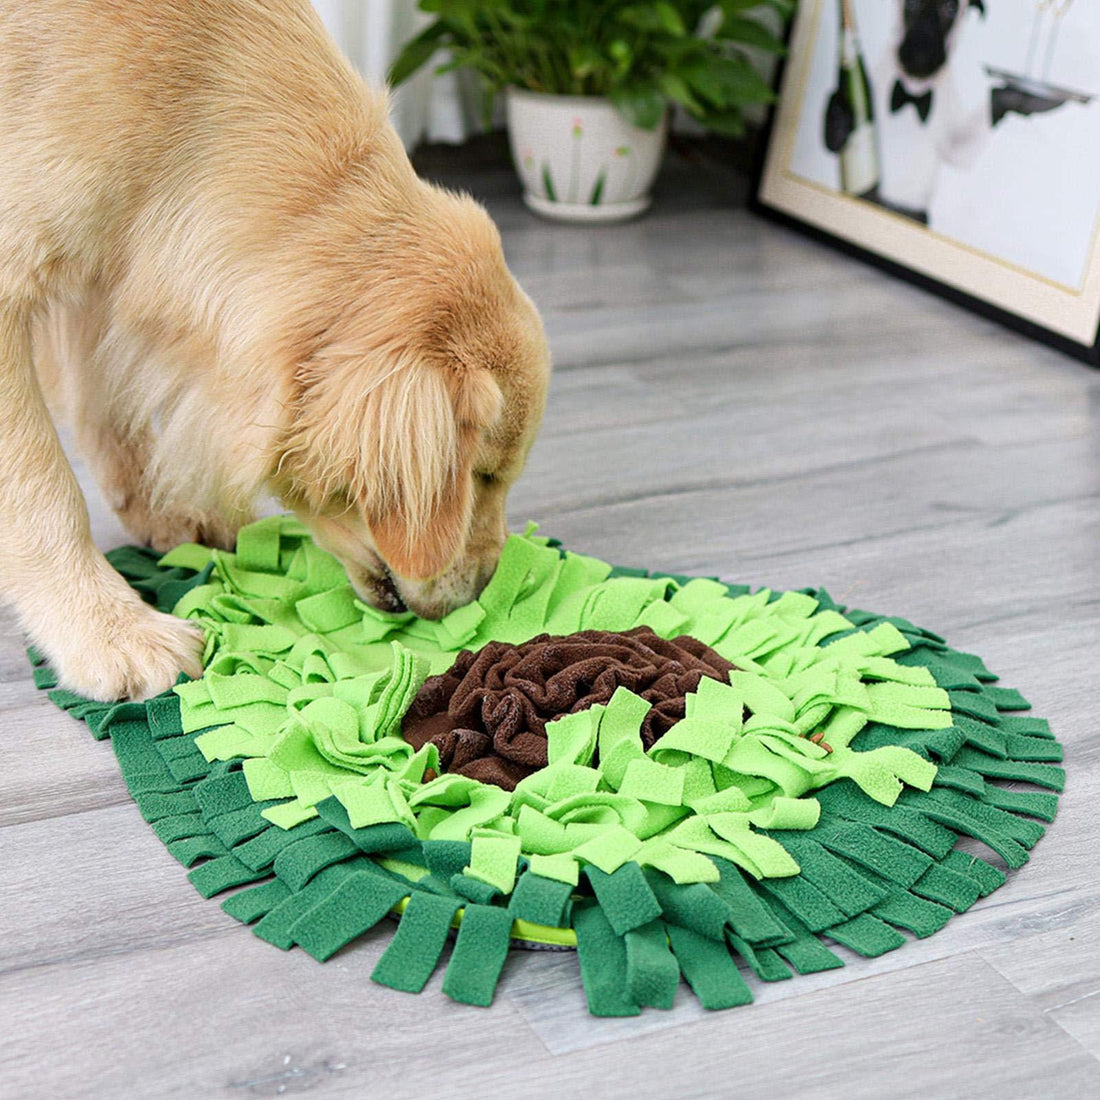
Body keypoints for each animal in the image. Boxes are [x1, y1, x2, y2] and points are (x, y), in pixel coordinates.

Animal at [0, 0, 550, 699]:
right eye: (481, 476)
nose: (483, 593)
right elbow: (42, 487)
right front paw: (110, 631)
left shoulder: (106, 266)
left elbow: (108, 402)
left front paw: (160, 511)